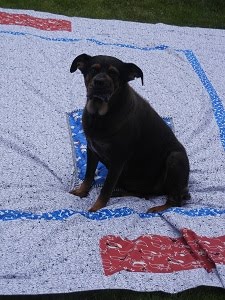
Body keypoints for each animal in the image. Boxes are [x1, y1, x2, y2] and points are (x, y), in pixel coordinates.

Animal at [70, 54, 190, 213]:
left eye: (114, 73)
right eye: (93, 70)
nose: (99, 82)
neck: (101, 115)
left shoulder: (118, 160)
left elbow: (106, 188)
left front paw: (96, 208)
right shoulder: (92, 148)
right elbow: (88, 175)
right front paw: (81, 191)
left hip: (175, 158)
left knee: (175, 201)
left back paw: (156, 208)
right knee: (142, 194)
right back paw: (120, 192)